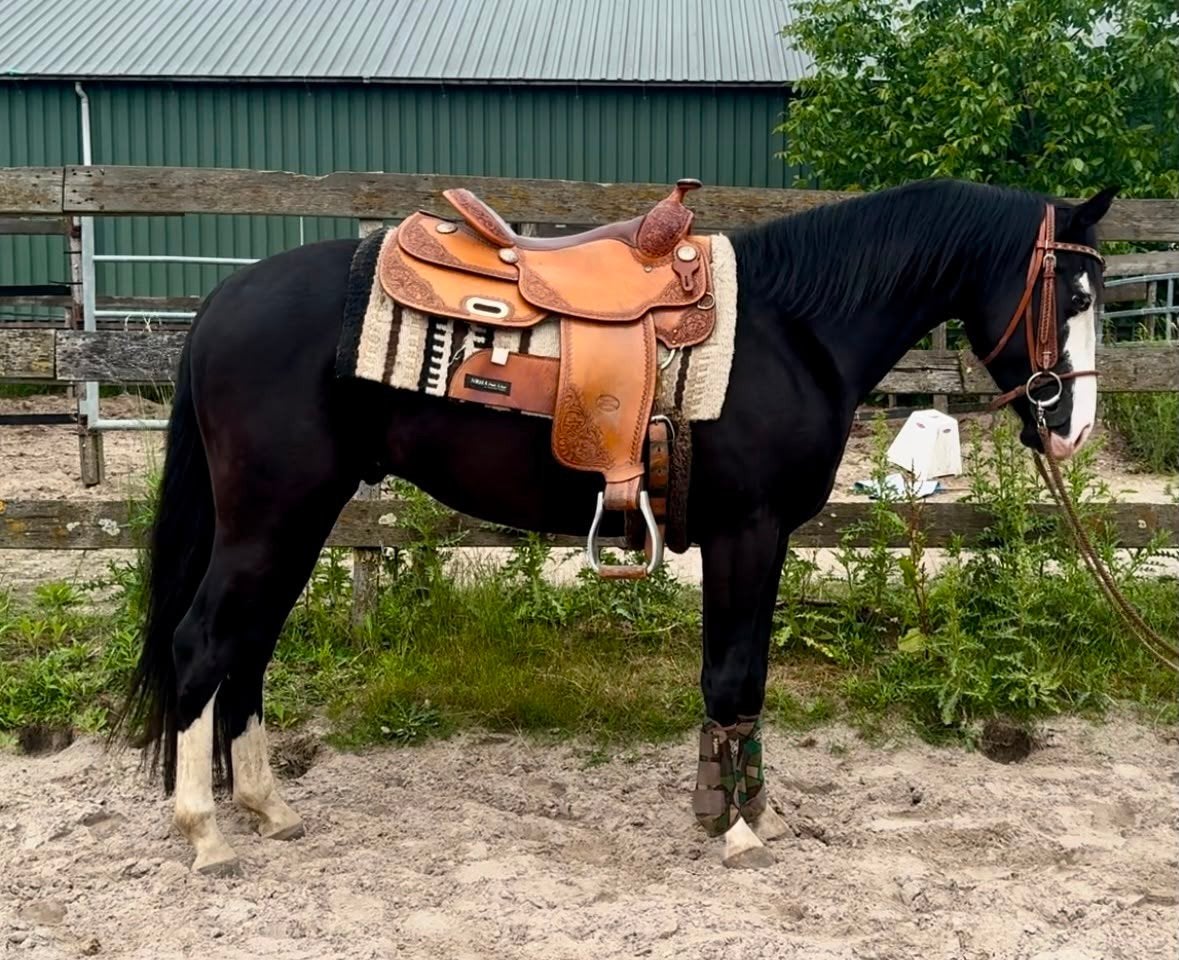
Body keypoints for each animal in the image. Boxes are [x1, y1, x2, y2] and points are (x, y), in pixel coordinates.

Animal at [113, 177, 1116, 874]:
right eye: (1072, 296)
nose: (1071, 430)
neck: (796, 329)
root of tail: (219, 305)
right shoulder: (748, 532)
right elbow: (731, 676)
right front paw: (735, 828)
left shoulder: (758, 540)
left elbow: (743, 683)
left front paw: (746, 810)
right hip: (270, 515)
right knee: (204, 644)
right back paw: (207, 834)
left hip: (296, 518)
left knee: (248, 646)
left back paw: (268, 808)